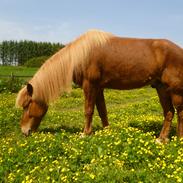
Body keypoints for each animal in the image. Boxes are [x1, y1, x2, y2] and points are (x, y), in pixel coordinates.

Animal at [16, 29, 183, 142]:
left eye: (27, 105)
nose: (24, 131)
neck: (80, 56)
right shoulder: (99, 88)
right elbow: (102, 111)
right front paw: (106, 131)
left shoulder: (89, 86)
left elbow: (88, 110)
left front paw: (85, 133)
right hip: (161, 88)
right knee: (169, 112)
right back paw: (161, 139)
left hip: (175, 90)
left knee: (179, 112)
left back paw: (178, 138)